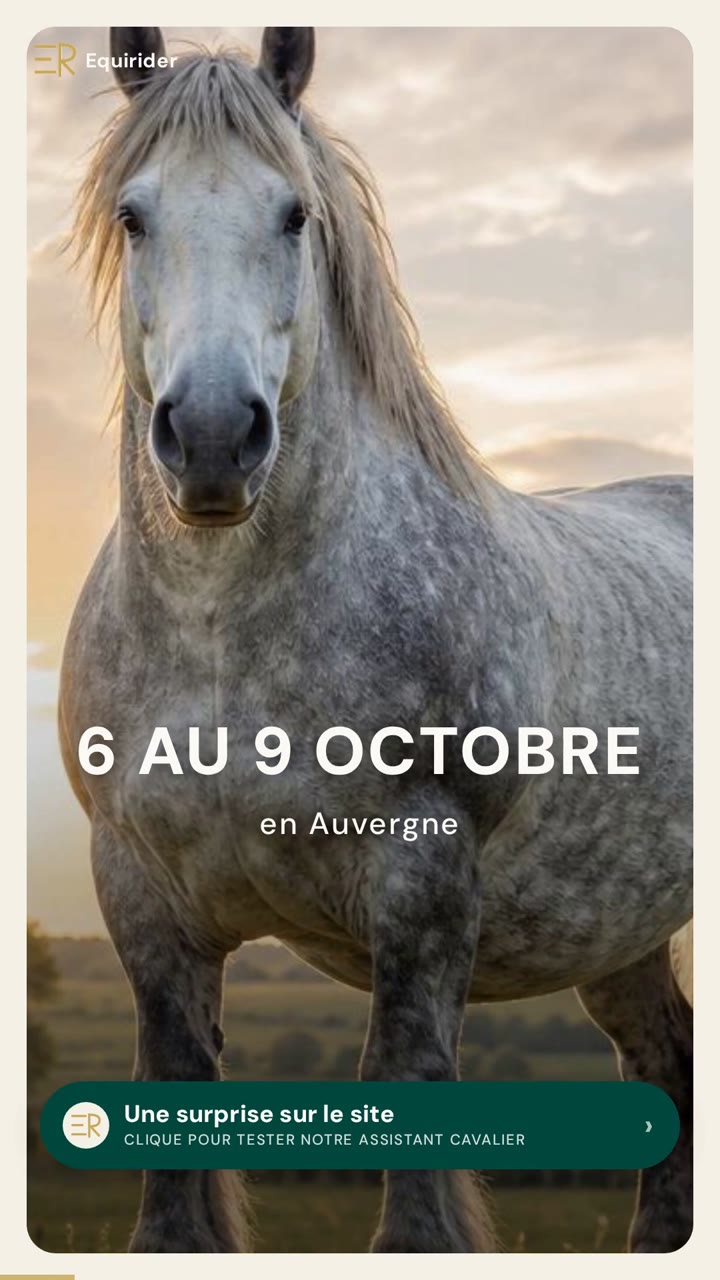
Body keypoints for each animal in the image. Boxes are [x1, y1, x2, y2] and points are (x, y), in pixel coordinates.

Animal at [59, 26, 692, 1253]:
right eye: (133, 214)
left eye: (294, 214)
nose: (215, 438)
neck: (226, 638)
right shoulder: (142, 900)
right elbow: (174, 1161)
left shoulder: (422, 888)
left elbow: (410, 1146)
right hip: (621, 933)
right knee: (666, 1066)